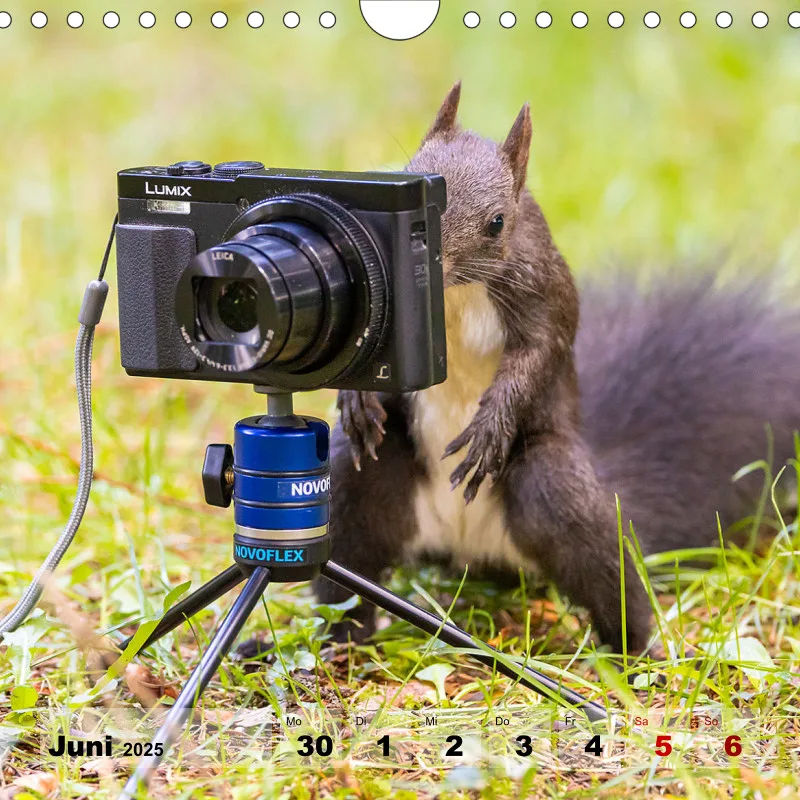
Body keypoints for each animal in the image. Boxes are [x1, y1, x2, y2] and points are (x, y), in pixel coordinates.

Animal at [312, 82, 800, 654]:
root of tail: (471, 541)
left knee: (606, 573)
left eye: (497, 222)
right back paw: (335, 642)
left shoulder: (546, 295)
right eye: (406, 174)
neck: (455, 292)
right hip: (363, 480)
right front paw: (355, 396)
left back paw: (639, 653)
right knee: (349, 565)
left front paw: (492, 423)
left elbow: (538, 354)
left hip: (552, 485)